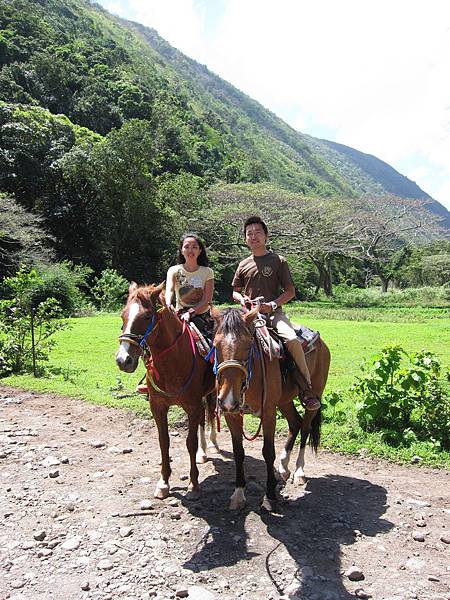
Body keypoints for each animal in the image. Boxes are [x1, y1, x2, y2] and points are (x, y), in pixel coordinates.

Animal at [115, 284, 215, 500]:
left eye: (146, 317)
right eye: (123, 316)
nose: (123, 360)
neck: (173, 360)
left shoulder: (192, 406)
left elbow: (190, 442)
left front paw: (194, 483)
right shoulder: (157, 406)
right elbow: (164, 442)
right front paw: (163, 483)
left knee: (210, 414)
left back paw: (211, 444)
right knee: (204, 419)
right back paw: (203, 454)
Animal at [211, 310, 330, 510]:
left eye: (248, 345)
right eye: (215, 345)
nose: (227, 400)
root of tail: (321, 342)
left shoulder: (268, 412)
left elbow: (268, 452)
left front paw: (269, 496)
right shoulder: (232, 415)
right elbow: (238, 453)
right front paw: (238, 494)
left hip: (315, 394)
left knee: (305, 427)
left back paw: (298, 471)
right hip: (284, 401)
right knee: (295, 423)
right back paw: (283, 468)